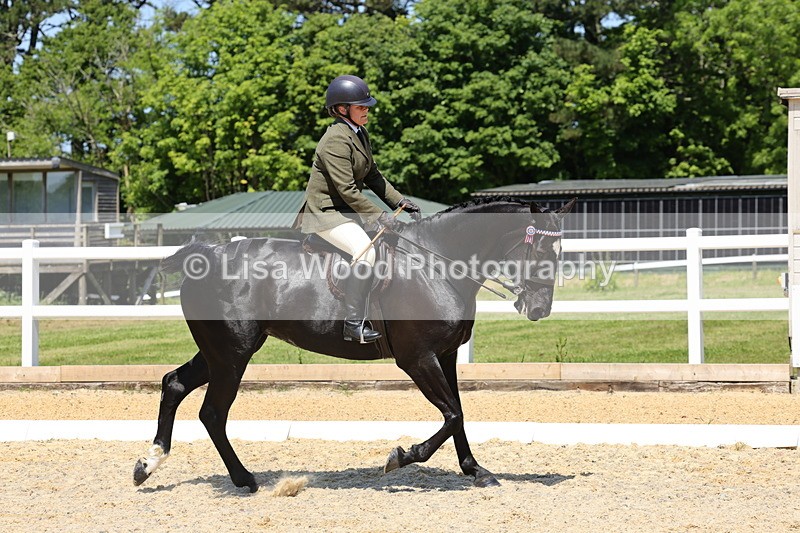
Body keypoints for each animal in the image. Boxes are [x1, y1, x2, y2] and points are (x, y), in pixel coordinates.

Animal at [133, 196, 575, 493]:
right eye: (540, 250)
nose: (539, 309)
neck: (437, 264)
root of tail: (206, 253)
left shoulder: (445, 355)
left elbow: (459, 413)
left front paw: (476, 470)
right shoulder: (417, 359)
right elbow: (451, 415)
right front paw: (401, 457)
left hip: (223, 352)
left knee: (174, 383)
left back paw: (147, 465)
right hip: (232, 355)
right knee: (212, 412)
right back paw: (245, 479)